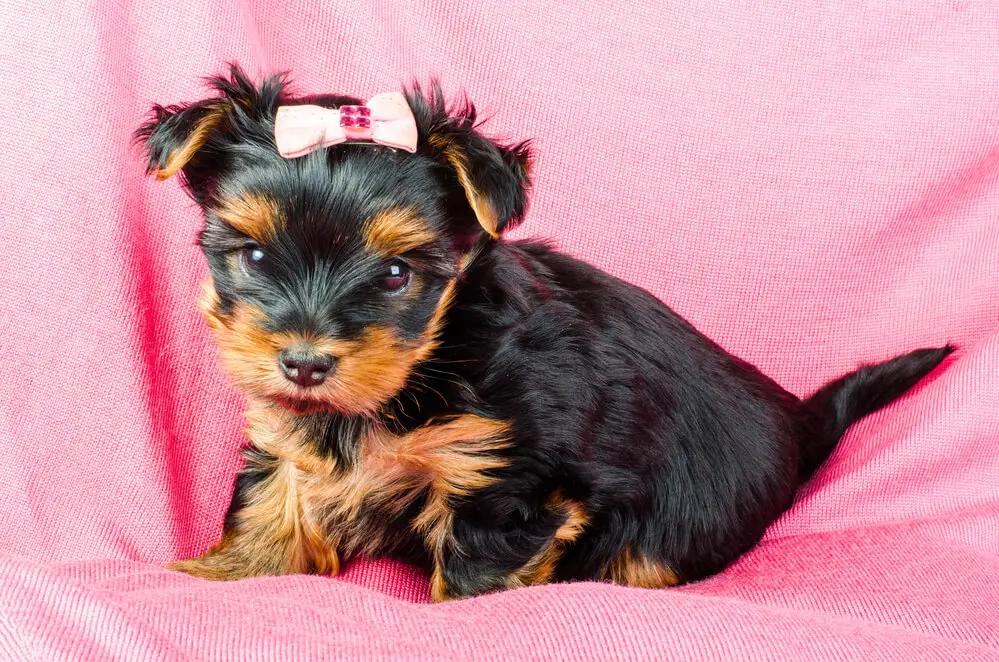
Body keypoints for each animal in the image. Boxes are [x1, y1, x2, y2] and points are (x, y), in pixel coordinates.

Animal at [139, 66, 952, 600]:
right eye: (253, 256)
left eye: (397, 275)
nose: (305, 364)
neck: (428, 360)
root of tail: (794, 418)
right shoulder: (292, 436)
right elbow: (271, 500)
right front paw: (223, 574)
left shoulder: (503, 477)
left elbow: (475, 570)